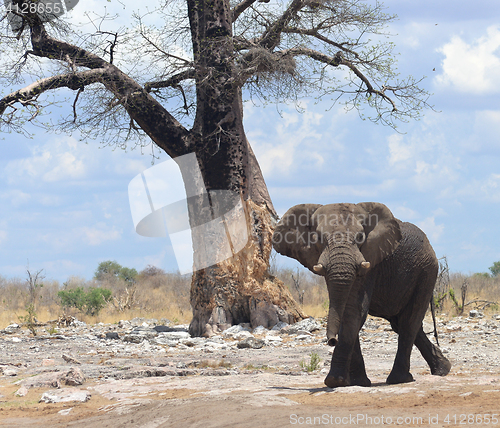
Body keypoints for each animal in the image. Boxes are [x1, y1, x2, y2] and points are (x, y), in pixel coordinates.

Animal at [272, 202, 452, 386]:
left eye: (360, 237)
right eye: (319, 238)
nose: (332, 341)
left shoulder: (369, 261)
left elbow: (353, 310)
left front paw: (335, 381)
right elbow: (346, 310)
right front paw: (356, 382)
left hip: (427, 271)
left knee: (408, 322)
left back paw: (400, 379)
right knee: (400, 322)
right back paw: (443, 369)